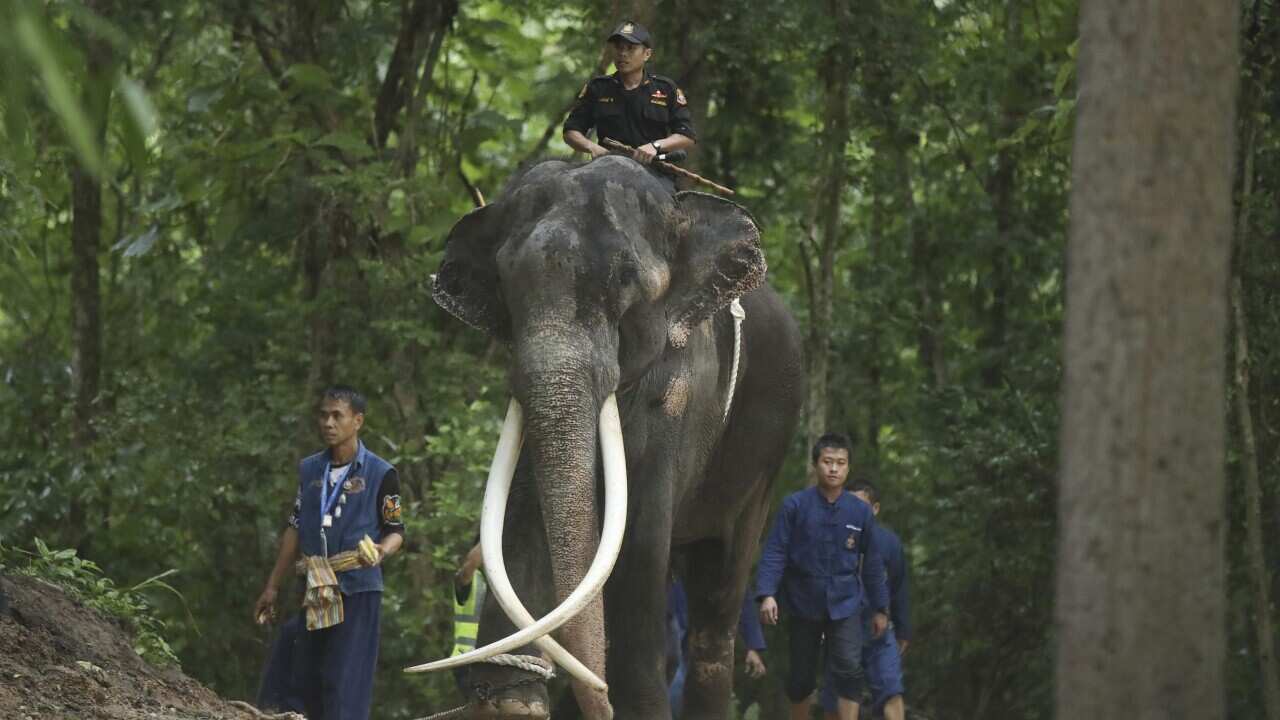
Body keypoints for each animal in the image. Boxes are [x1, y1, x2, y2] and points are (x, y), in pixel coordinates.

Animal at [410, 155, 804, 720]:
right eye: (505, 282)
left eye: (624, 278)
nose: (600, 698)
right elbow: (521, 516)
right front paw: (511, 700)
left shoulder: (684, 391)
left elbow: (640, 534)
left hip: (766, 456)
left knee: (716, 598)